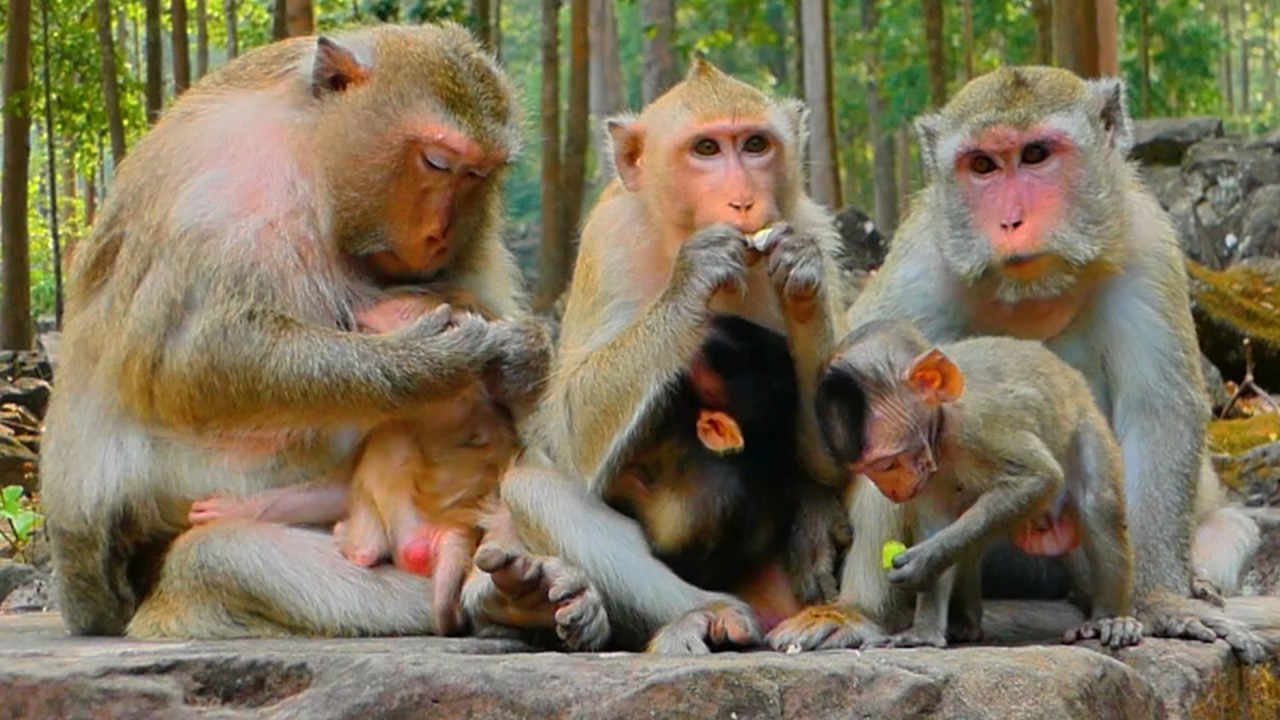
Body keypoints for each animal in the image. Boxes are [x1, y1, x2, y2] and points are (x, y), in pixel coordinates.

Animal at [36, 24, 607, 642]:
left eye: (476, 174)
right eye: (435, 162)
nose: (438, 233)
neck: (313, 156)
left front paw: (521, 355)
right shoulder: (226, 190)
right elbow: (191, 361)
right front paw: (427, 362)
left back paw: (519, 593)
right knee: (215, 556)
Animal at [492, 57, 853, 654]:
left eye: (755, 144)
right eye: (706, 149)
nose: (743, 201)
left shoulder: (815, 226)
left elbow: (830, 459)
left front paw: (801, 277)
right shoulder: (609, 240)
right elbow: (572, 426)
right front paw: (693, 277)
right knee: (535, 488)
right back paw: (703, 614)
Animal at [815, 319, 1142, 650]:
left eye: (886, 465)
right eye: (869, 471)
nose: (892, 491)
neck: (943, 425)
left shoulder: (979, 426)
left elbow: (1040, 478)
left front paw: (923, 562)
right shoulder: (927, 474)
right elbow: (937, 523)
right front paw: (923, 631)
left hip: (1087, 424)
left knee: (1097, 503)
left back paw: (1107, 619)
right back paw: (966, 622)